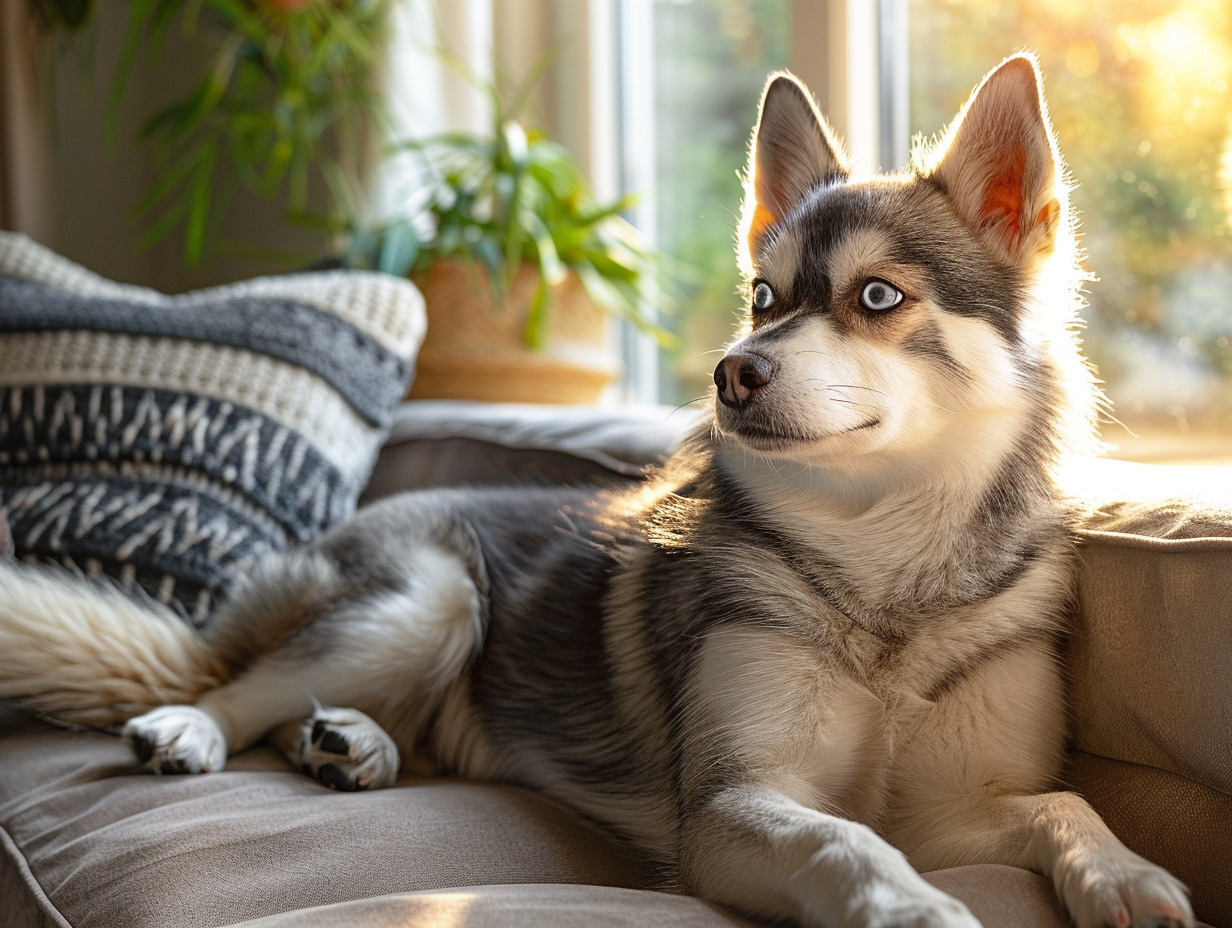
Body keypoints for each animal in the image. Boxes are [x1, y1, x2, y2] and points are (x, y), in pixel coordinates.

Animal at [0, 56, 1192, 926]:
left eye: (877, 297)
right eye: (763, 298)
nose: (733, 372)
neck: (878, 562)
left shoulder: (956, 806)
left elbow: (1063, 800)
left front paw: (1128, 875)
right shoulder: (733, 807)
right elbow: (843, 838)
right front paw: (915, 909)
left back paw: (352, 745)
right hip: (424, 599)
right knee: (238, 687)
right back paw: (196, 730)